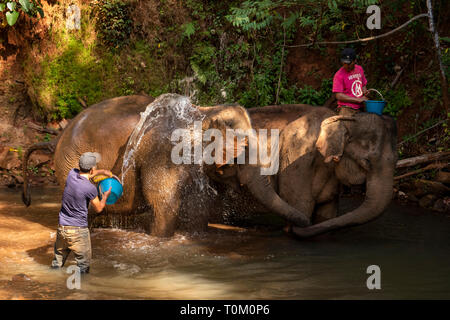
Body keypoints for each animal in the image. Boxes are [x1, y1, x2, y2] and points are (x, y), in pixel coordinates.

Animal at [21, 94, 310, 236]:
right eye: (243, 154)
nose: (305, 222)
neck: (203, 112)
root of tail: (57, 136)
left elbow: (199, 211)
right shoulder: (163, 154)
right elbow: (164, 206)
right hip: (69, 164)